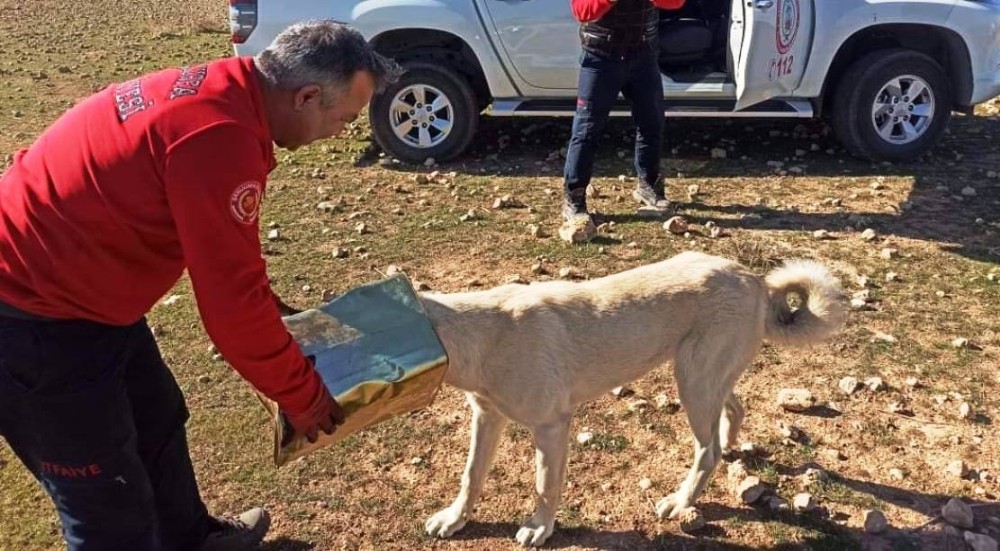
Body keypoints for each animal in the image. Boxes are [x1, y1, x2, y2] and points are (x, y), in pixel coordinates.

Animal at [418, 253, 848, 548]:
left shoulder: (551, 427)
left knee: (706, 450)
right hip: (705, 379)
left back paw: (681, 500)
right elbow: (471, 476)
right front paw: (454, 519)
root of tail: (755, 279)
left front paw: (540, 527)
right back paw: (728, 449)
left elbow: (545, 484)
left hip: (693, 383)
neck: (482, 335)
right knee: (732, 413)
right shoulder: (486, 417)